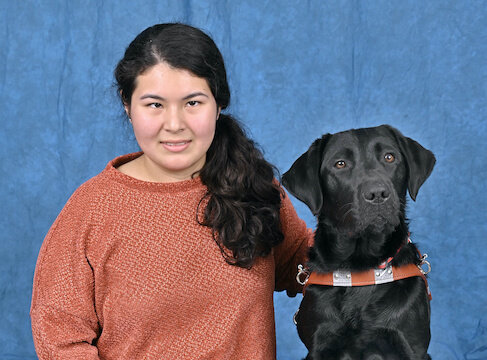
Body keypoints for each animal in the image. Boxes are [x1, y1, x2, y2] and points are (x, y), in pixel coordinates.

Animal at [284, 124, 436, 360]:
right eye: (340, 164)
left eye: (390, 157)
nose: (377, 193)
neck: (360, 269)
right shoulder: (320, 346)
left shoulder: (411, 346)